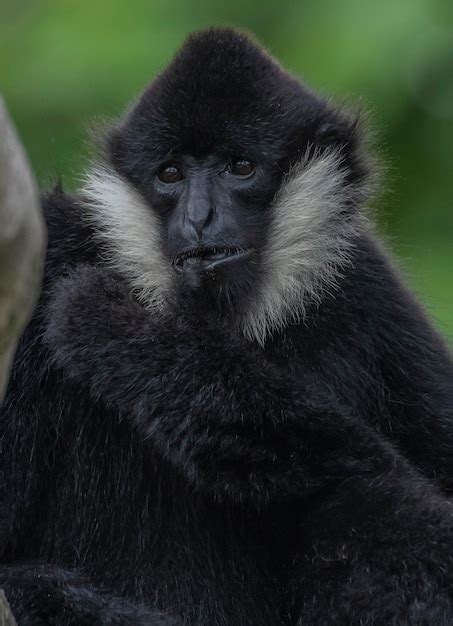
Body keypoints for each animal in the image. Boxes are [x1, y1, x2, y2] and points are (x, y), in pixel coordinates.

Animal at [0, 26, 452, 620]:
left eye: (240, 168)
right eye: (171, 174)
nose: (199, 217)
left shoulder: (368, 291)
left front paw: (125, 332)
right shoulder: (51, 253)